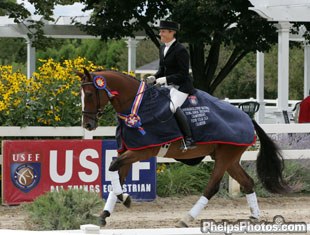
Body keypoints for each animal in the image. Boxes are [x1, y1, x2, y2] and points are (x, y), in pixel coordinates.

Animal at [76, 67, 290, 228]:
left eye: (89, 94)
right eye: (81, 95)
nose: (88, 125)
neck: (136, 106)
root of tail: (247, 118)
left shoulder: (142, 151)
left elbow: (113, 167)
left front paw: (125, 199)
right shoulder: (127, 150)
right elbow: (116, 176)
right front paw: (104, 214)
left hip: (224, 157)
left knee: (212, 187)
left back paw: (186, 219)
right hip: (229, 158)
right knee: (247, 182)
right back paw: (254, 216)